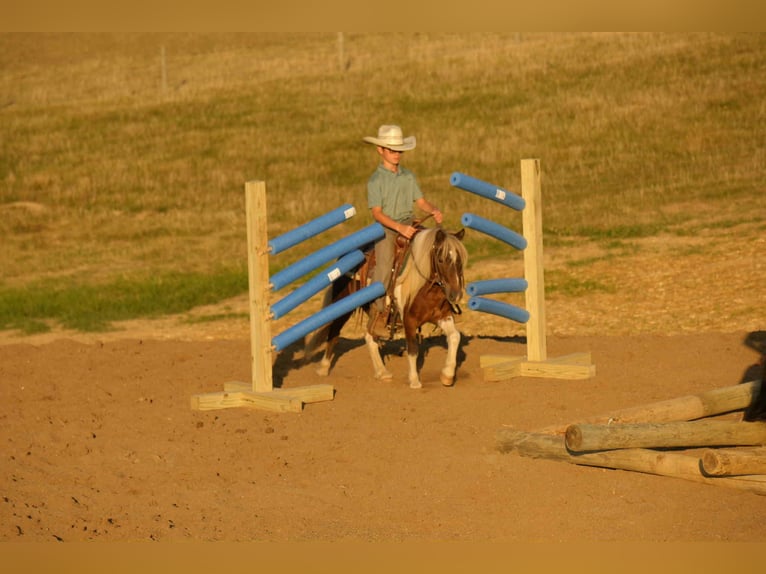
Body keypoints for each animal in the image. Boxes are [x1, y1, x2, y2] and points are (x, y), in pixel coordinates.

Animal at [305, 226, 468, 389]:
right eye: (441, 259)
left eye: (459, 260)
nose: (455, 294)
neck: (424, 287)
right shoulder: (409, 320)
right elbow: (413, 349)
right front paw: (414, 380)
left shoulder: (442, 316)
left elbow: (455, 336)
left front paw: (447, 375)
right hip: (343, 304)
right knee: (334, 331)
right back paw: (324, 368)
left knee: (370, 336)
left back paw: (382, 372)